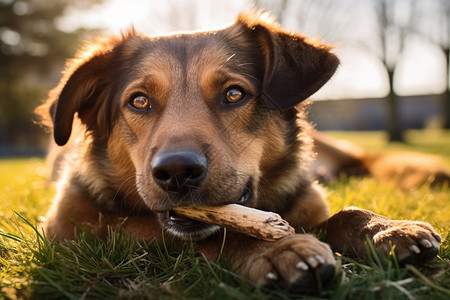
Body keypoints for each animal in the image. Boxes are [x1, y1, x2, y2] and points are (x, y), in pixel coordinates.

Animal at [36, 12, 442, 292]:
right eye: (138, 101)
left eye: (234, 94)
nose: (176, 171)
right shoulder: (76, 227)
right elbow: (219, 235)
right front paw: (276, 251)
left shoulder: (306, 201)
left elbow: (347, 213)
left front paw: (387, 228)